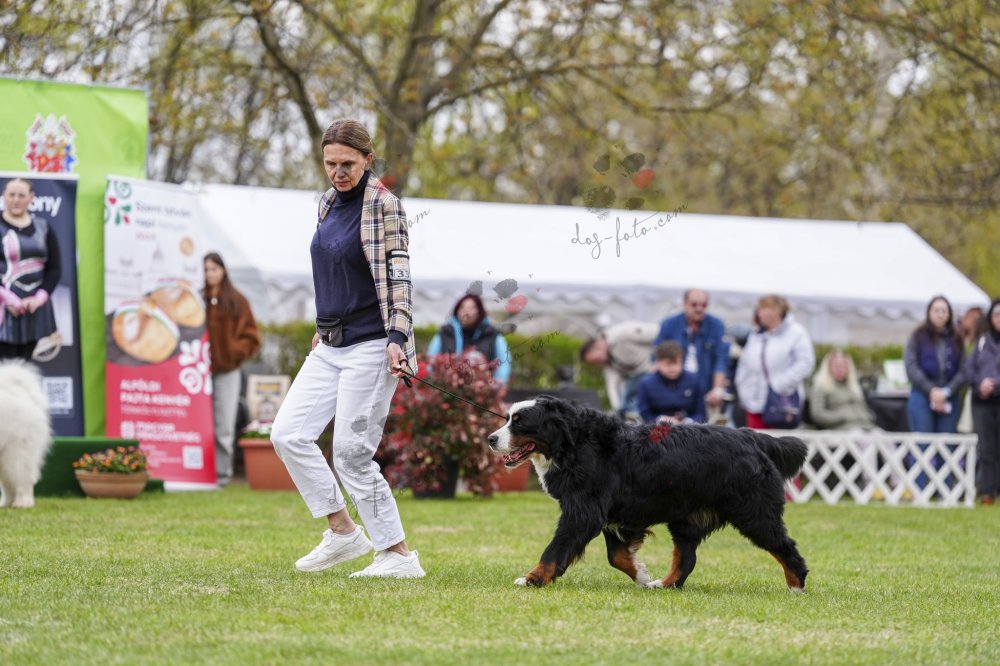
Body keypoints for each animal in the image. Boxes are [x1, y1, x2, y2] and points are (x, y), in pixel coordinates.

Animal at [487, 396, 809, 592]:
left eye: (520, 422)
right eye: (507, 419)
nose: (490, 438)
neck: (574, 444)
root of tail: (751, 437)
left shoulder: (583, 511)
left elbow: (555, 550)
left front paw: (533, 578)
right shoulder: (608, 514)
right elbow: (617, 555)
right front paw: (641, 575)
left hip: (753, 514)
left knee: (785, 546)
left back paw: (797, 584)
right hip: (686, 520)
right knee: (686, 560)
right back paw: (664, 584)